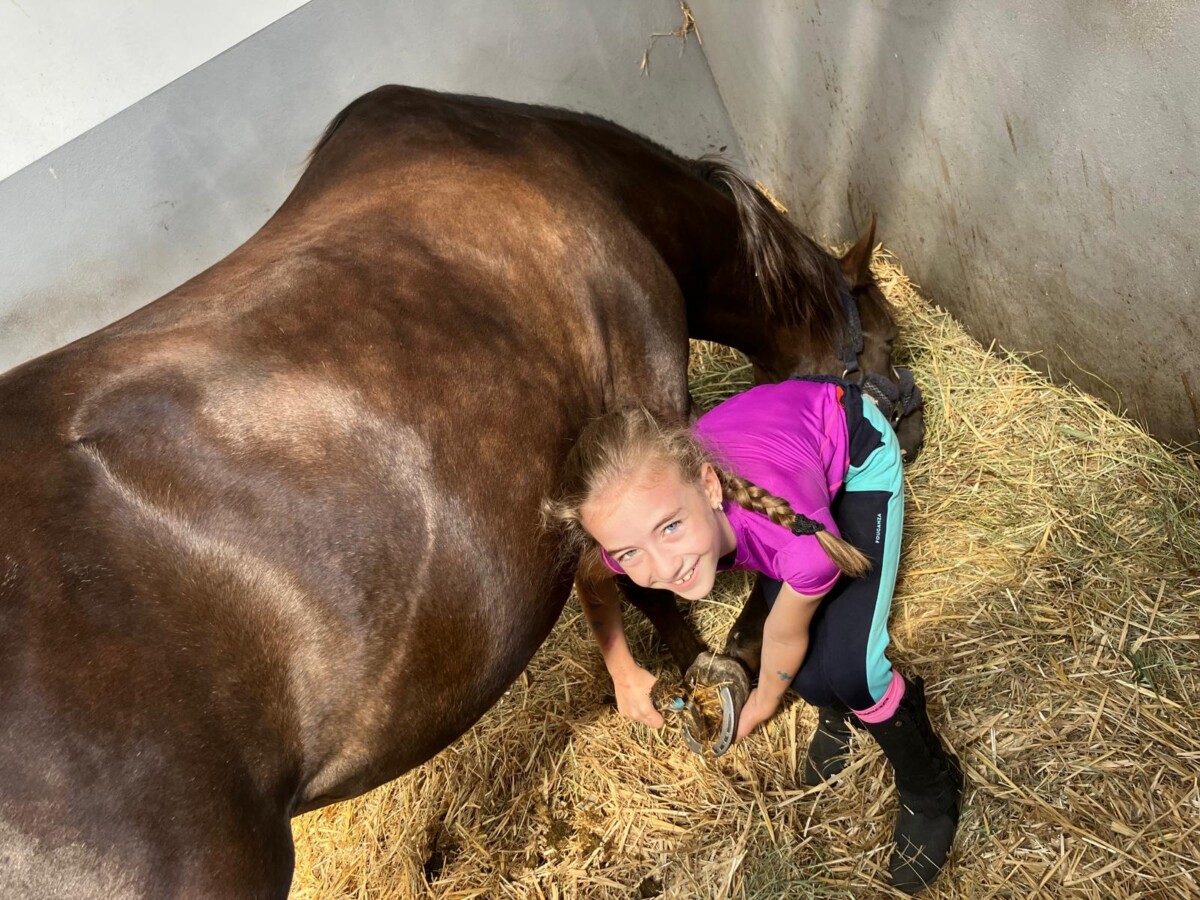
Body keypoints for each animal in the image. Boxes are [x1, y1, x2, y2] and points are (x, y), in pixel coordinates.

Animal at [0, 84, 920, 896]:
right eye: (884, 327)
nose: (909, 420)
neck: (593, 184)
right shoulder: (650, 402)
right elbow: (656, 578)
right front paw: (706, 664)